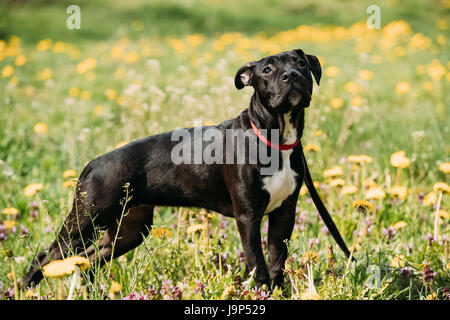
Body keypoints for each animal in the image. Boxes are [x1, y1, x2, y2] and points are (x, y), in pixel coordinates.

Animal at [23, 48, 352, 290]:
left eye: (301, 63)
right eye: (267, 70)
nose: (291, 75)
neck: (276, 135)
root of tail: (93, 164)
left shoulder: (284, 212)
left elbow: (275, 261)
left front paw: (278, 291)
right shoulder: (248, 215)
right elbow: (257, 264)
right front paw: (261, 292)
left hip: (128, 229)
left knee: (90, 261)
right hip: (85, 222)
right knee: (44, 258)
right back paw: (23, 290)